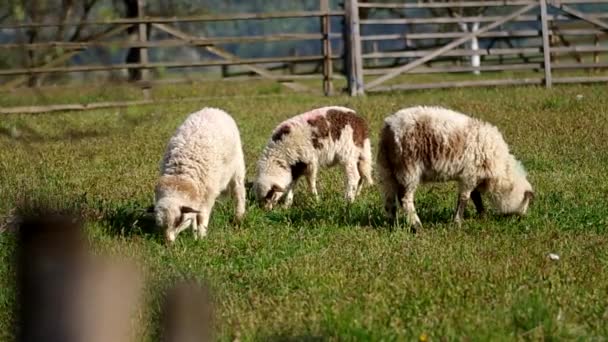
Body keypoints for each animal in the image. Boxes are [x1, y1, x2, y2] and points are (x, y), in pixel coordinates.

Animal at [152, 105, 247, 242]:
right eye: (160, 225)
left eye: (178, 220)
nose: (168, 243)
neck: (181, 175)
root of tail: (213, 109)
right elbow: (194, 217)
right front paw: (195, 234)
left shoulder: (207, 196)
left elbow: (202, 216)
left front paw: (201, 237)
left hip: (237, 167)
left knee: (239, 192)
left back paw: (239, 216)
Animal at [378, 106, 536, 230]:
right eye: (526, 201)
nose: (521, 218)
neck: (501, 172)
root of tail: (389, 127)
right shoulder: (470, 174)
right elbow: (464, 198)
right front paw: (458, 222)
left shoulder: (474, 176)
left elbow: (475, 197)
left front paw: (482, 216)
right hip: (408, 168)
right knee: (405, 199)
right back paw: (417, 226)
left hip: (388, 169)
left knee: (390, 199)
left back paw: (393, 225)